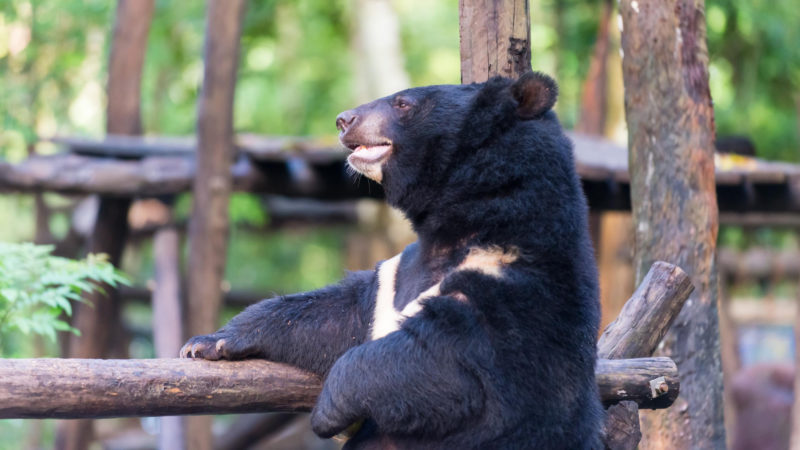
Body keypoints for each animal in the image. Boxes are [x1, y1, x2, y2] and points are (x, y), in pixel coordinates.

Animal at [181, 72, 604, 448]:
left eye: (403, 103)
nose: (343, 120)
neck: (460, 224)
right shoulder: (393, 274)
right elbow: (334, 316)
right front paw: (207, 344)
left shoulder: (517, 281)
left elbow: (446, 360)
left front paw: (329, 411)